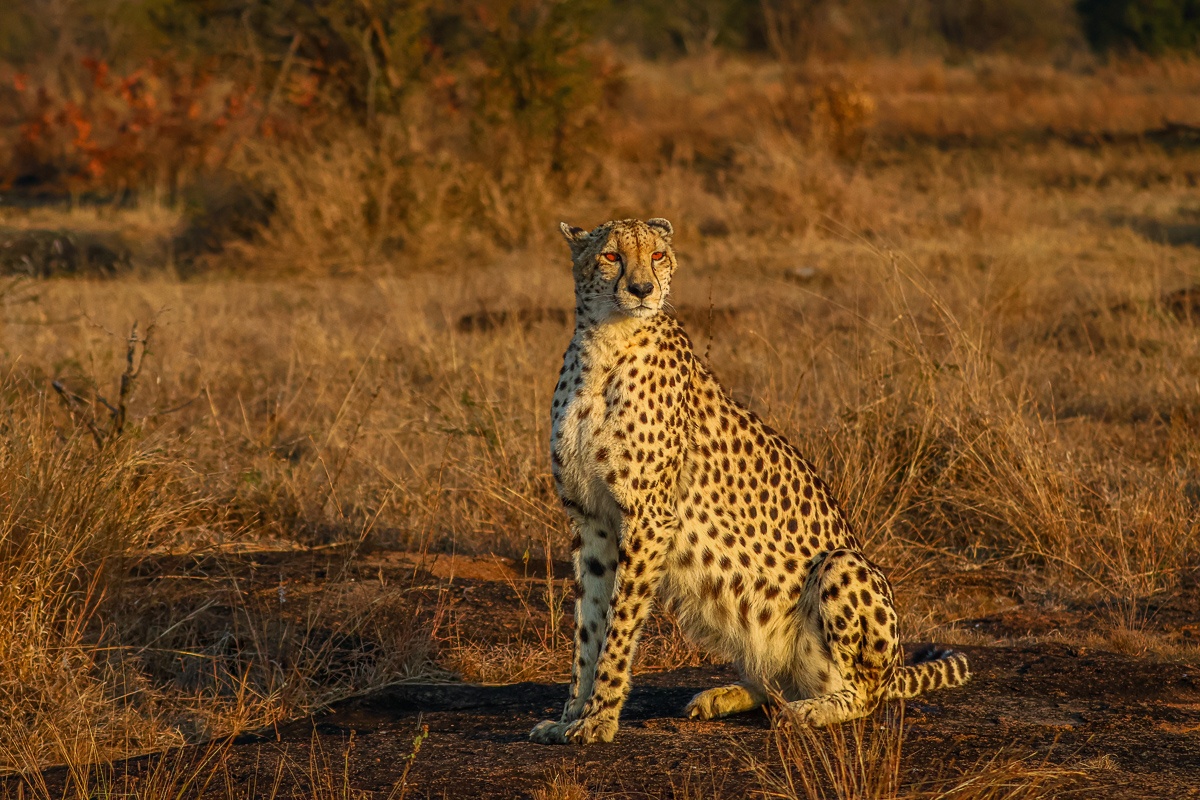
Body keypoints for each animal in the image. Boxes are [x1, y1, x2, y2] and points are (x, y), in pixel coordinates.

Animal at [529, 217, 969, 746]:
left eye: (657, 256)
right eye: (612, 256)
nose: (642, 290)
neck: (605, 343)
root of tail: (896, 668)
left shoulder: (647, 519)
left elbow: (618, 627)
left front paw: (598, 718)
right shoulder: (591, 520)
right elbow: (589, 626)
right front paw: (571, 713)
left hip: (843, 566)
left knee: (863, 694)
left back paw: (811, 710)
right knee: (775, 682)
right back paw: (727, 695)